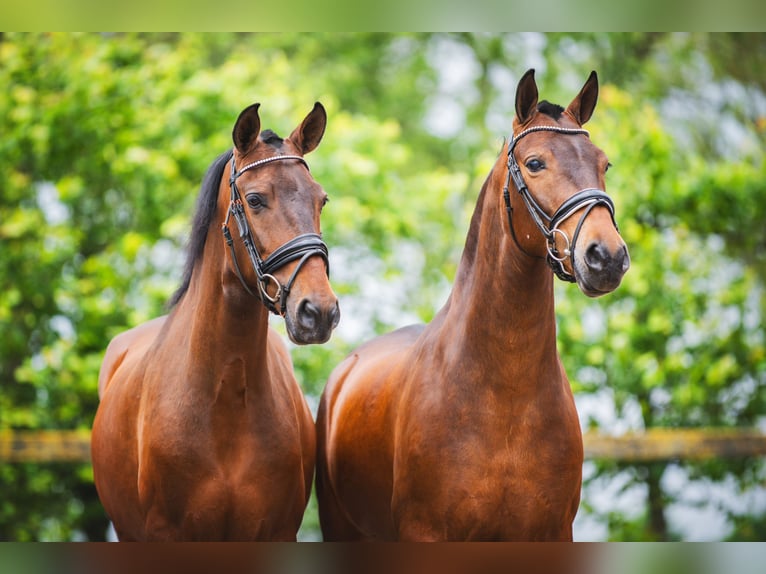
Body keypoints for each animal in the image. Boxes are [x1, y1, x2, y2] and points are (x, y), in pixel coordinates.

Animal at [316, 70, 632, 544]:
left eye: (604, 164)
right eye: (535, 163)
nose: (606, 257)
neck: (505, 397)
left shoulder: (553, 532)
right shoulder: (426, 533)